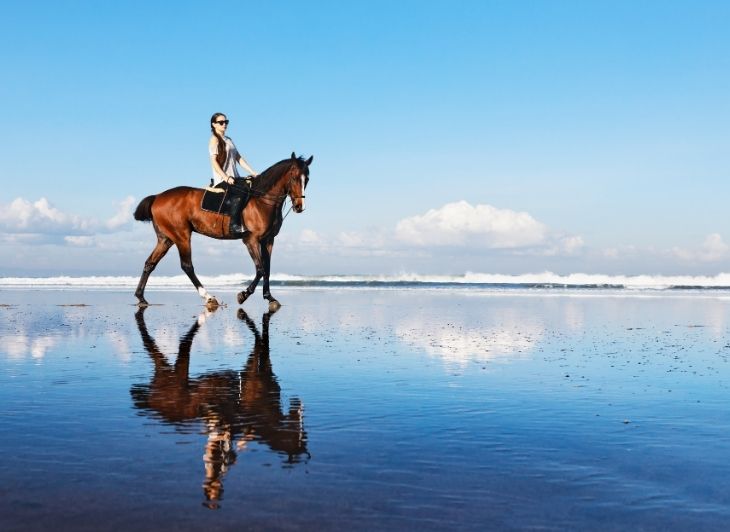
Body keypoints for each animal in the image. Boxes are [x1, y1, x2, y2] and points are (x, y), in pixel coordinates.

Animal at [134, 152, 310, 310]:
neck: (262, 200)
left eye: (307, 179)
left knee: (150, 263)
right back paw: (208, 297)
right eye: (294, 177)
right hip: (181, 236)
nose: (299, 206)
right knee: (187, 265)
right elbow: (260, 269)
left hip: (166, 238)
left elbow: (267, 268)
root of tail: (157, 197)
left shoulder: (268, 240)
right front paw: (243, 294)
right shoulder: (251, 240)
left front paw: (269, 297)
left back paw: (140, 297)